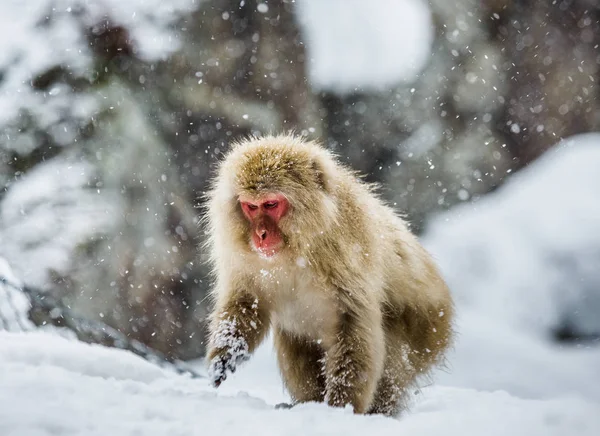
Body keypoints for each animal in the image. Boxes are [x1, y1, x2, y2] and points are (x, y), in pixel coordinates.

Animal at [204, 134, 452, 416]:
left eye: (271, 204)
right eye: (250, 207)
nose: (261, 235)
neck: (296, 248)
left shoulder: (347, 252)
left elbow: (353, 323)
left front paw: (340, 407)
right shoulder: (242, 260)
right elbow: (247, 302)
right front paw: (225, 355)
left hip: (427, 332)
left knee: (393, 361)